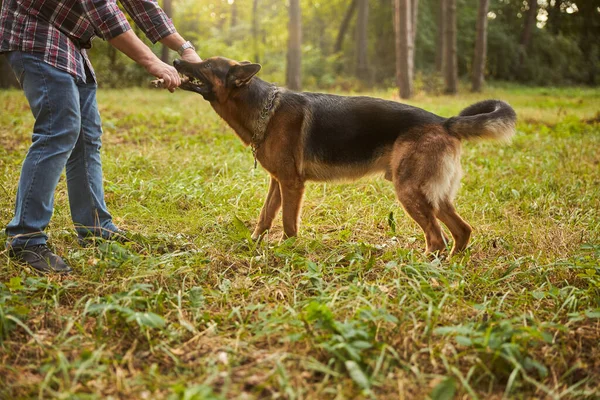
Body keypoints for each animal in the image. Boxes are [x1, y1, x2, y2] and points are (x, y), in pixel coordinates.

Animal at [173, 57, 516, 255]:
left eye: (205, 65)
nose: (176, 58)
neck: (263, 109)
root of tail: (444, 122)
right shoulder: (278, 183)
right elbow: (265, 217)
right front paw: (253, 244)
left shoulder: (292, 185)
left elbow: (287, 223)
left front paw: (287, 252)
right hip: (432, 195)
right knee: (461, 231)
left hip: (410, 191)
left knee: (436, 238)